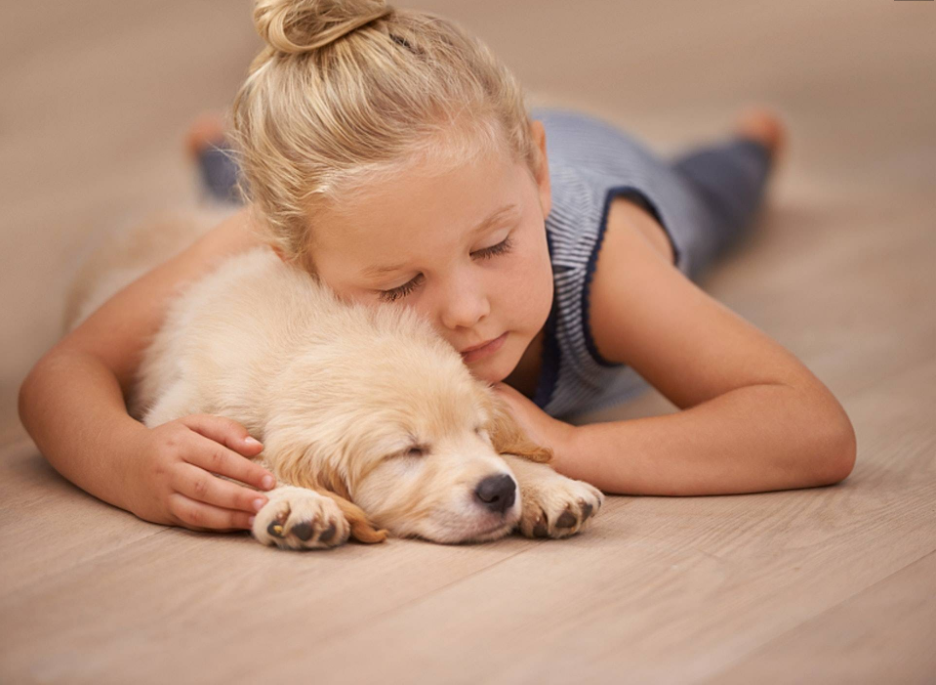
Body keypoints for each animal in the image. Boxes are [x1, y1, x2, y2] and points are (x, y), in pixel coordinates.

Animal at [67, 212, 608, 552]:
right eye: (407, 452)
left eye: (478, 431)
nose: (498, 491)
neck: (306, 337)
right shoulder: (184, 414)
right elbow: (252, 461)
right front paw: (298, 501)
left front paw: (545, 486)